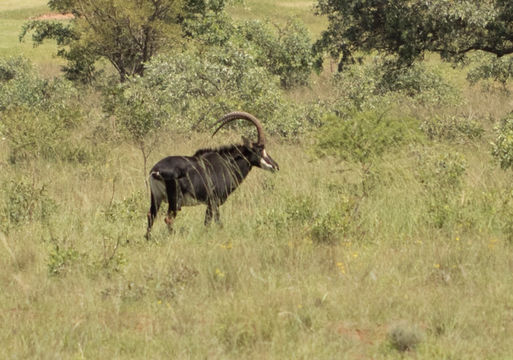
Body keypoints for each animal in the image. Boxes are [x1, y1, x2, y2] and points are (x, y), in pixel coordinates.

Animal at [144, 111, 280, 238]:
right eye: (259, 150)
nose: (275, 166)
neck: (226, 163)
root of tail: (156, 170)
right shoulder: (214, 201)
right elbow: (215, 222)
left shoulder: (211, 203)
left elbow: (208, 222)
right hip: (175, 200)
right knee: (168, 218)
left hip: (156, 197)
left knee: (151, 215)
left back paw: (148, 238)